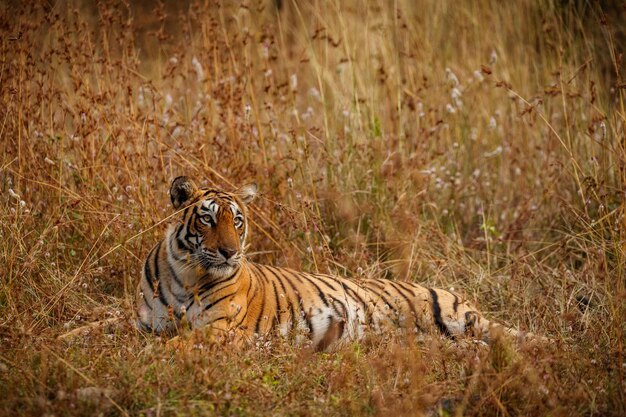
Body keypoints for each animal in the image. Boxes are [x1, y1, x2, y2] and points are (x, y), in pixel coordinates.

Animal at [136, 176, 536, 348]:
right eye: (207, 219)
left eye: (236, 221)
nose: (230, 253)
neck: (187, 276)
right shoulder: (146, 325)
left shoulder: (218, 328)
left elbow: (175, 346)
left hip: (454, 317)